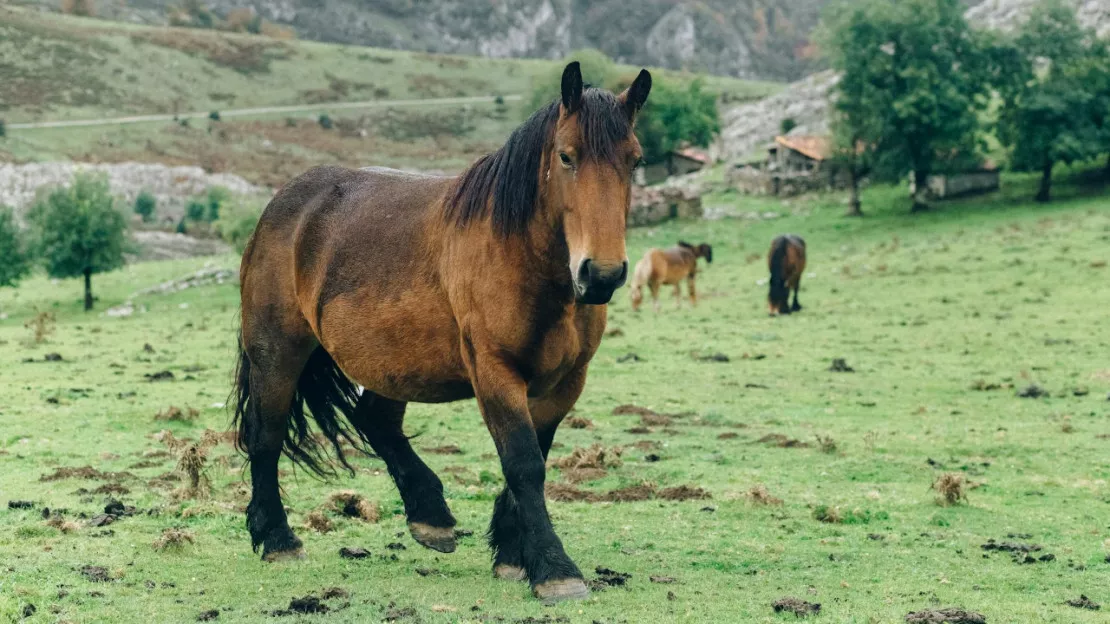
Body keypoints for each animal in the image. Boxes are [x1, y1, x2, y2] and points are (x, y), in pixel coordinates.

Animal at [231, 61, 648, 599]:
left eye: (635, 161)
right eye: (566, 156)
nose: (601, 274)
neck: (519, 258)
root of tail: (284, 204)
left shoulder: (565, 382)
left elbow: (535, 456)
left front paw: (513, 554)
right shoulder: (495, 372)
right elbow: (524, 462)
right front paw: (555, 569)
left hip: (395, 359)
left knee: (375, 421)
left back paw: (430, 516)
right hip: (277, 352)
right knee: (267, 434)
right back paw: (278, 539)